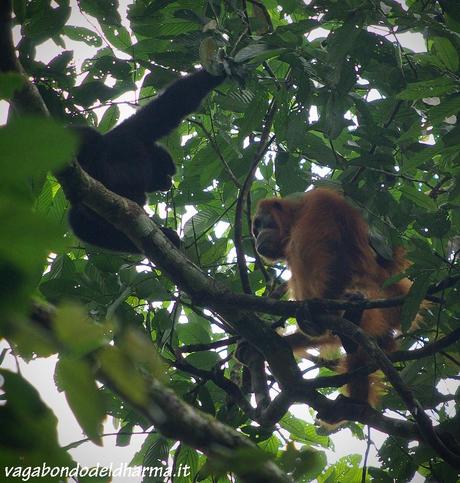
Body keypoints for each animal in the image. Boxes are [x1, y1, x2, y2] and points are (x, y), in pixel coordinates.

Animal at [253, 187, 412, 406]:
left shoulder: (320, 203)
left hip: (385, 303)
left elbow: (329, 249)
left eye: (262, 224)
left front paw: (318, 312)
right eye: (255, 229)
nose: (257, 237)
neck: (296, 215)